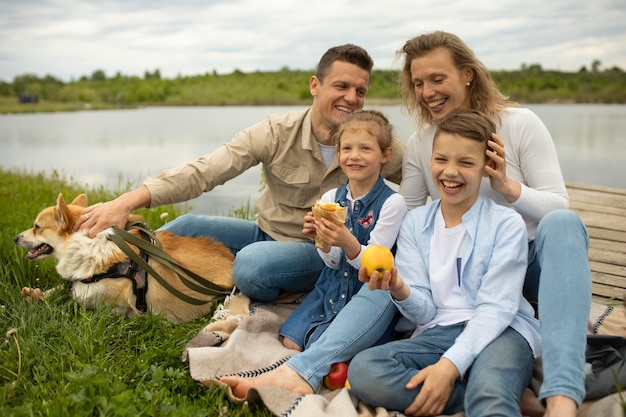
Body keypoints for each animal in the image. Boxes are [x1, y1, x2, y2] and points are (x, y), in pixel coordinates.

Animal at [14, 193, 234, 324]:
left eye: (36, 227)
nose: (15, 238)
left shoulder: (110, 304)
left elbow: (76, 300)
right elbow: (63, 288)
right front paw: (36, 294)